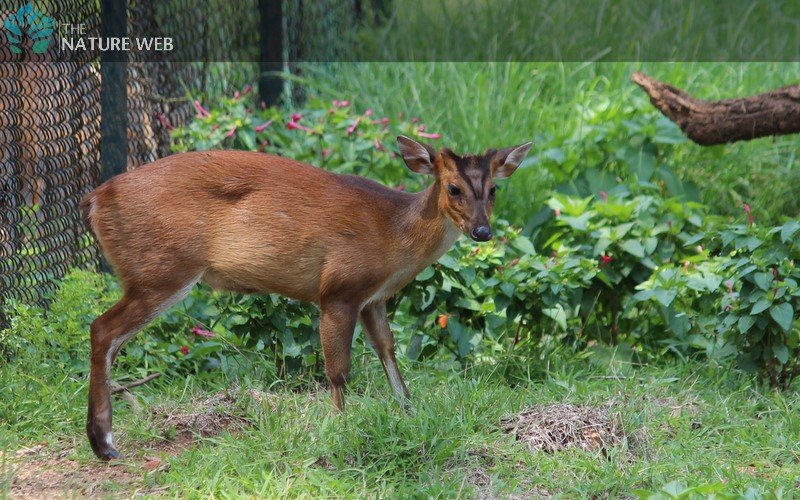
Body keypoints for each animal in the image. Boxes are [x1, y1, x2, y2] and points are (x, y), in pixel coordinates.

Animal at [81, 135, 536, 458]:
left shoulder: (373, 299)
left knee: (108, 336)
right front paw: (340, 429)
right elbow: (338, 371)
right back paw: (105, 444)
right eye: (454, 188)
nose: (482, 231)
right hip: (162, 268)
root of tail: (93, 200)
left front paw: (410, 412)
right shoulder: (338, 289)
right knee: (102, 329)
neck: (394, 234)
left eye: (494, 189)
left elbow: (389, 351)